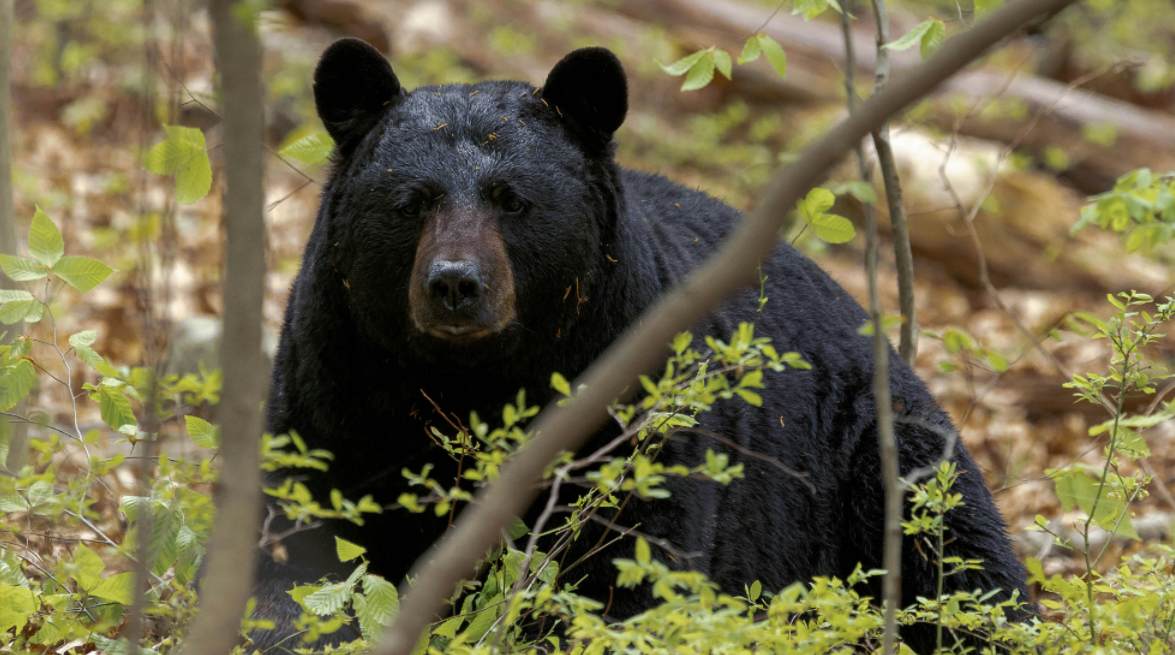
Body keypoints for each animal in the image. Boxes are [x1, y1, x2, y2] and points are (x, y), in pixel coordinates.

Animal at [254, 38, 1029, 651]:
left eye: (513, 199)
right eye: (411, 201)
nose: (454, 284)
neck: (471, 379)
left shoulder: (631, 401)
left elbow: (630, 567)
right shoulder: (335, 384)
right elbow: (297, 547)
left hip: (876, 457)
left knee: (961, 564)